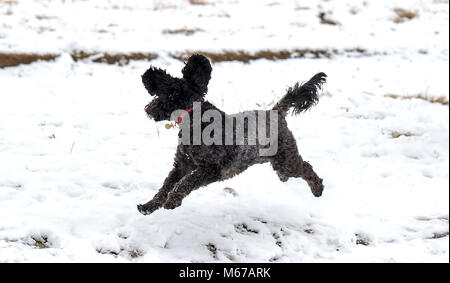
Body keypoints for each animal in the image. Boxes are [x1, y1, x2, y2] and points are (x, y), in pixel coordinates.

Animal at [137, 54, 326, 216]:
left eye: (161, 93)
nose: (147, 108)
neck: (196, 120)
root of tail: (276, 112)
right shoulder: (182, 165)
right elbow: (165, 187)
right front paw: (148, 206)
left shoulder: (212, 168)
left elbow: (185, 182)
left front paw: (173, 201)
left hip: (285, 160)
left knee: (306, 167)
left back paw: (317, 189)